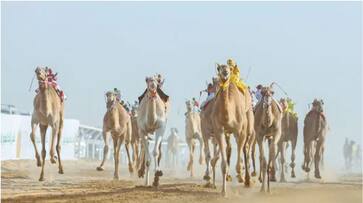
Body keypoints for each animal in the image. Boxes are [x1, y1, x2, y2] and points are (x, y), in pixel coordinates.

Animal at [210, 64, 253, 195]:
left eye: (228, 68)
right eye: (219, 68)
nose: (225, 72)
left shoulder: (240, 130)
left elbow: (239, 160)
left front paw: (241, 176)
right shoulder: (219, 130)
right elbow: (223, 164)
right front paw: (223, 192)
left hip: (248, 119)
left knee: (245, 147)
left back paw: (247, 180)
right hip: (227, 133)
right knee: (229, 147)